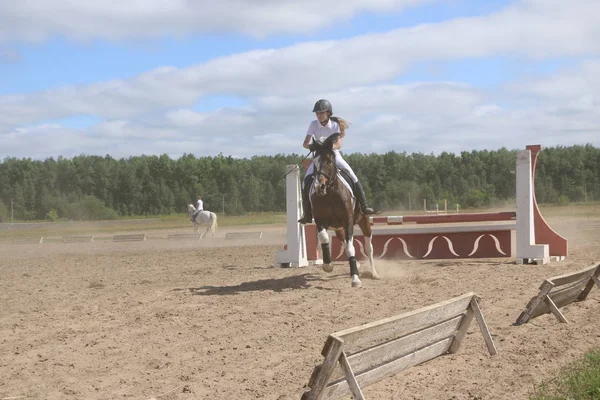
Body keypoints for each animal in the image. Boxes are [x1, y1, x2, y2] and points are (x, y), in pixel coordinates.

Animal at [310, 134, 380, 288]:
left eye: (329, 161)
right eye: (314, 162)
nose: (319, 187)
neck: (330, 194)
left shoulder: (348, 221)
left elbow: (350, 247)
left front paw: (355, 278)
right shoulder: (320, 220)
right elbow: (324, 238)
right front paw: (328, 265)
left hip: (363, 221)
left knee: (369, 247)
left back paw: (374, 273)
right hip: (339, 229)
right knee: (343, 241)